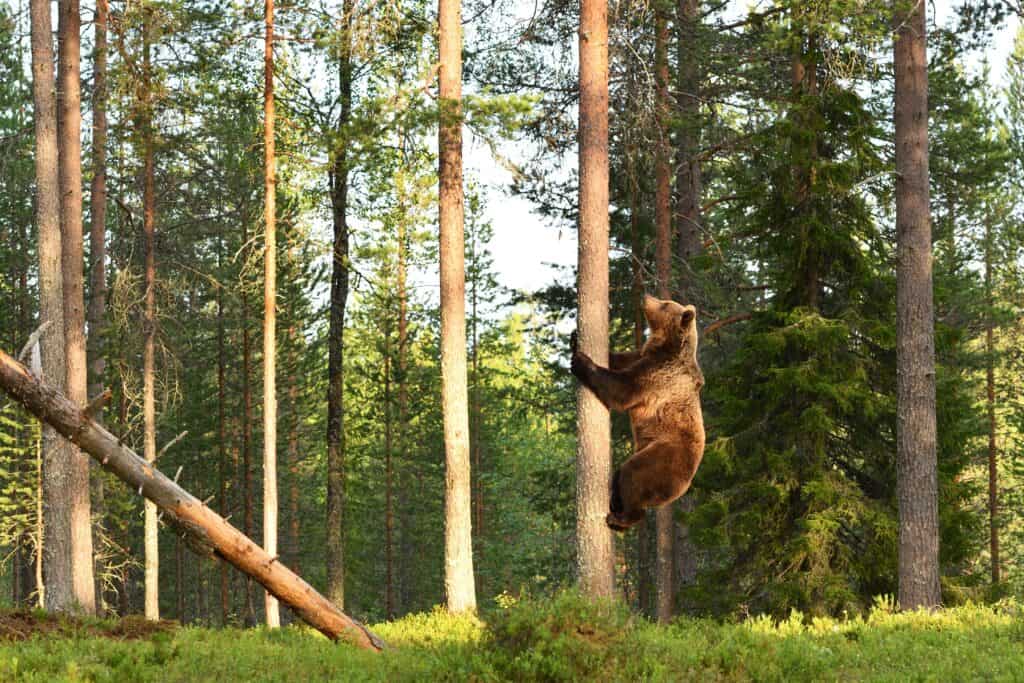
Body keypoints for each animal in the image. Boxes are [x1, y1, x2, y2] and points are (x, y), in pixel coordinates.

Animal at [569, 296, 704, 532]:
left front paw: (581, 361)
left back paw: (620, 518)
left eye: (665, 303)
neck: (666, 347)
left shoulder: (659, 375)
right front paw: (575, 339)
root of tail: (683, 488)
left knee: (633, 474)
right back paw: (616, 502)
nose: (647, 296)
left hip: (665, 455)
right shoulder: (643, 356)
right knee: (620, 476)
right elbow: (620, 360)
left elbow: (622, 390)